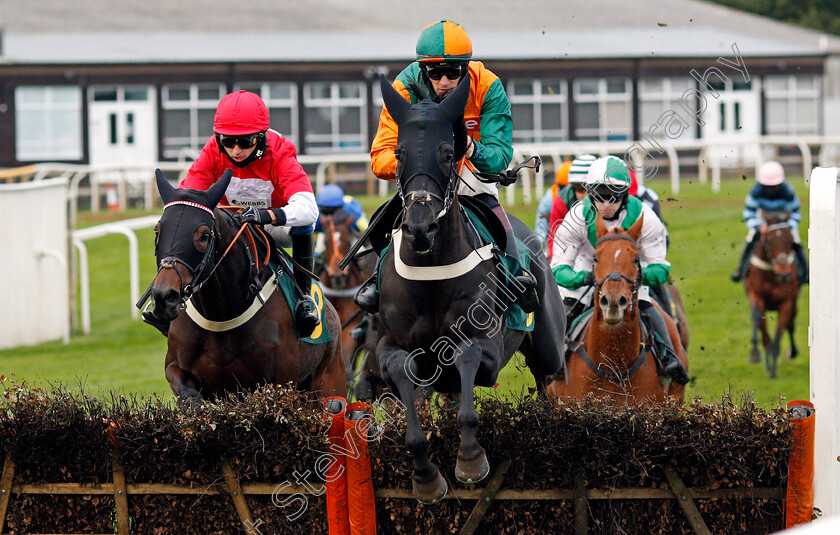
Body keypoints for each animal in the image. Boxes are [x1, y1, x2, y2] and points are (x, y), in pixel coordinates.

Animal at [145, 172, 344, 406]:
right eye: (158, 230)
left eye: (203, 235)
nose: (163, 297)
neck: (221, 314)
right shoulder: (175, 367)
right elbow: (189, 394)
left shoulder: (280, 382)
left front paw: (255, 215)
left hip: (327, 382)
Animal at [374, 77, 564, 504]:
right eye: (399, 153)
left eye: (448, 153)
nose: (420, 227)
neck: (431, 272)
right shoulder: (389, 346)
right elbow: (403, 372)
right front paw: (426, 476)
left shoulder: (487, 346)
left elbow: (467, 357)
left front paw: (470, 458)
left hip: (548, 346)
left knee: (549, 382)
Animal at [740, 211, 800, 378]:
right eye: (769, 239)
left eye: (790, 239)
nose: (784, 273)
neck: (772, 274)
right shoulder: (756, 295)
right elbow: (759, 325)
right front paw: (756, 354)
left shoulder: (786, 302)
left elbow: (779, 335)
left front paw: (773, 370)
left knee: (791, 324)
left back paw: (792, 351)